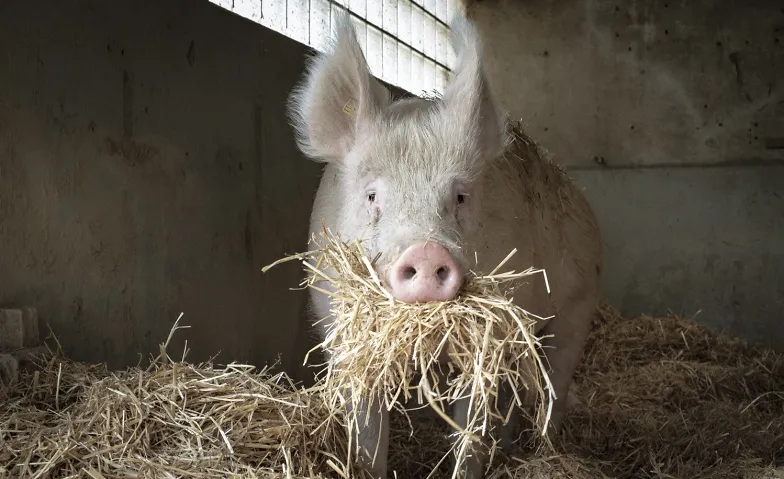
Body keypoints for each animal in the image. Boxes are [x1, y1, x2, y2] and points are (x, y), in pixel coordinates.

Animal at [286, 11, 603, 479]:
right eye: (372, 195)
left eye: (460, 197)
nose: (425, 250)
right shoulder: (342, 334)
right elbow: (367, 430)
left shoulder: (488, 341)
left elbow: (469, 426)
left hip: (576, 310)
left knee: (553, 388)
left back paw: (542, 451)